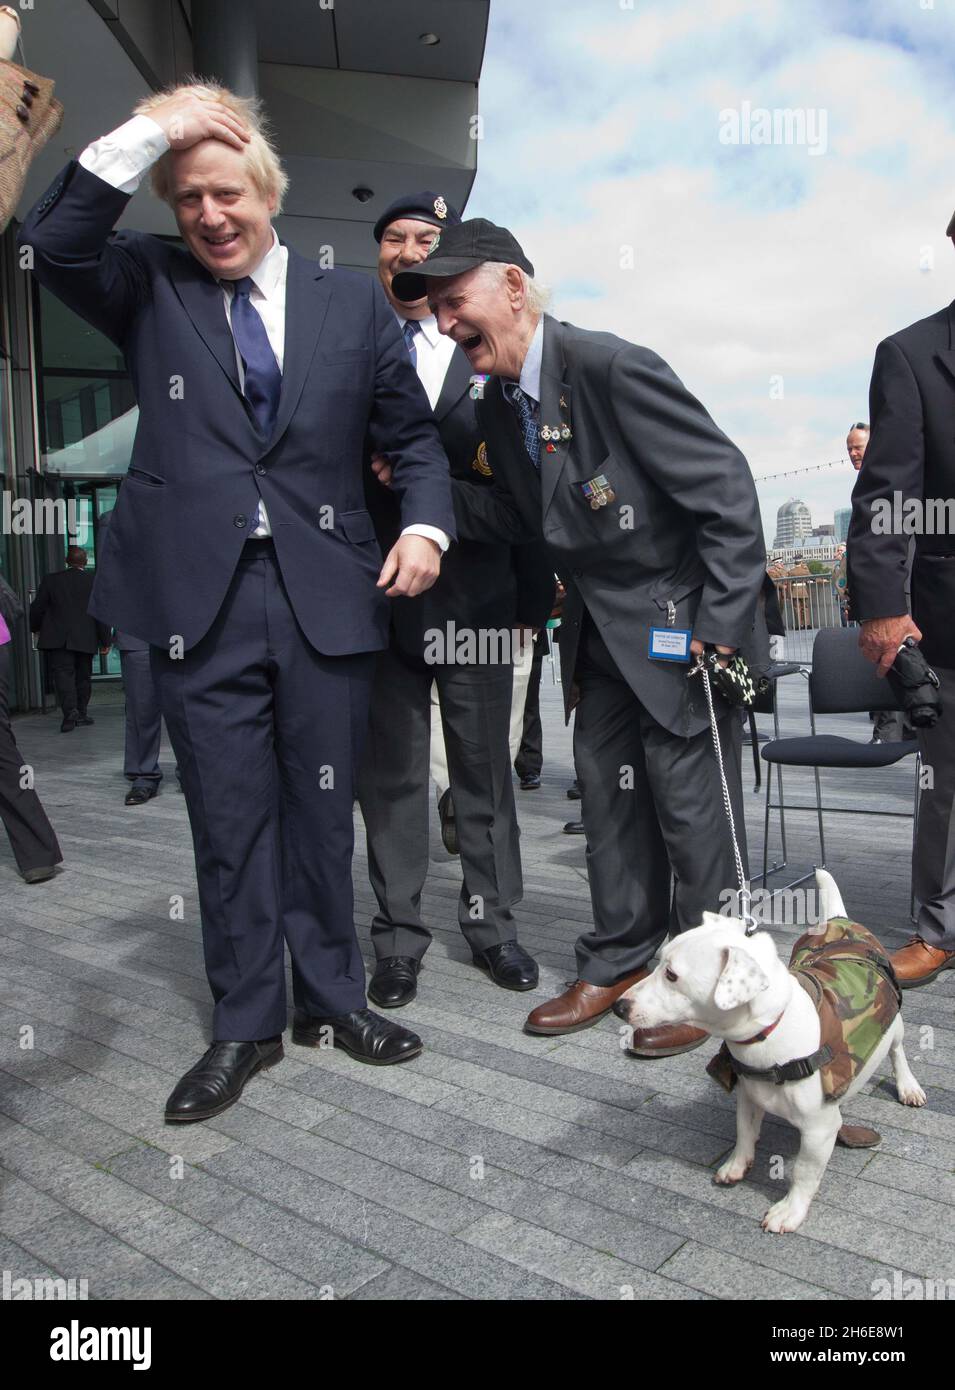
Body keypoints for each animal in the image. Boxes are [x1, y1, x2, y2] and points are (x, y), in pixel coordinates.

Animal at [611, 872, 928, 1234]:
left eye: (672, 975)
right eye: (660, 961)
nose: (618, 1006)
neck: (769, 1034)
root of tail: (838, 920)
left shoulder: (819, 1130)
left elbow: (804, 1172)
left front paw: (790, 1210)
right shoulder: (749, 1096)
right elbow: (745, 1132)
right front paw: (737, 1164)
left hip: (895, 1027)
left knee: (898, 1052)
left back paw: (908, 1086)